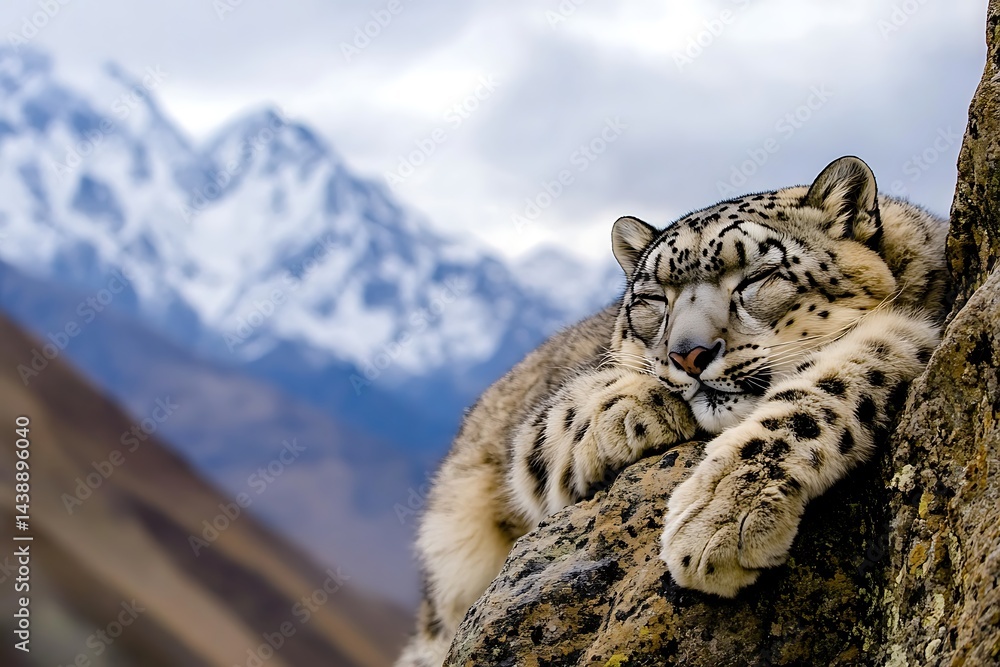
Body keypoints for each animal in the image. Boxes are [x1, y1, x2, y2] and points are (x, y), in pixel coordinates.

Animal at [395, 156, 950, 666]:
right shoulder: (535, 438)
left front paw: (719, 518)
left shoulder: (922, 328)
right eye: (653, 298)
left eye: (759, 275)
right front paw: (624, 411)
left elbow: (832, 381)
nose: (689, 354)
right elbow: (566, 414)